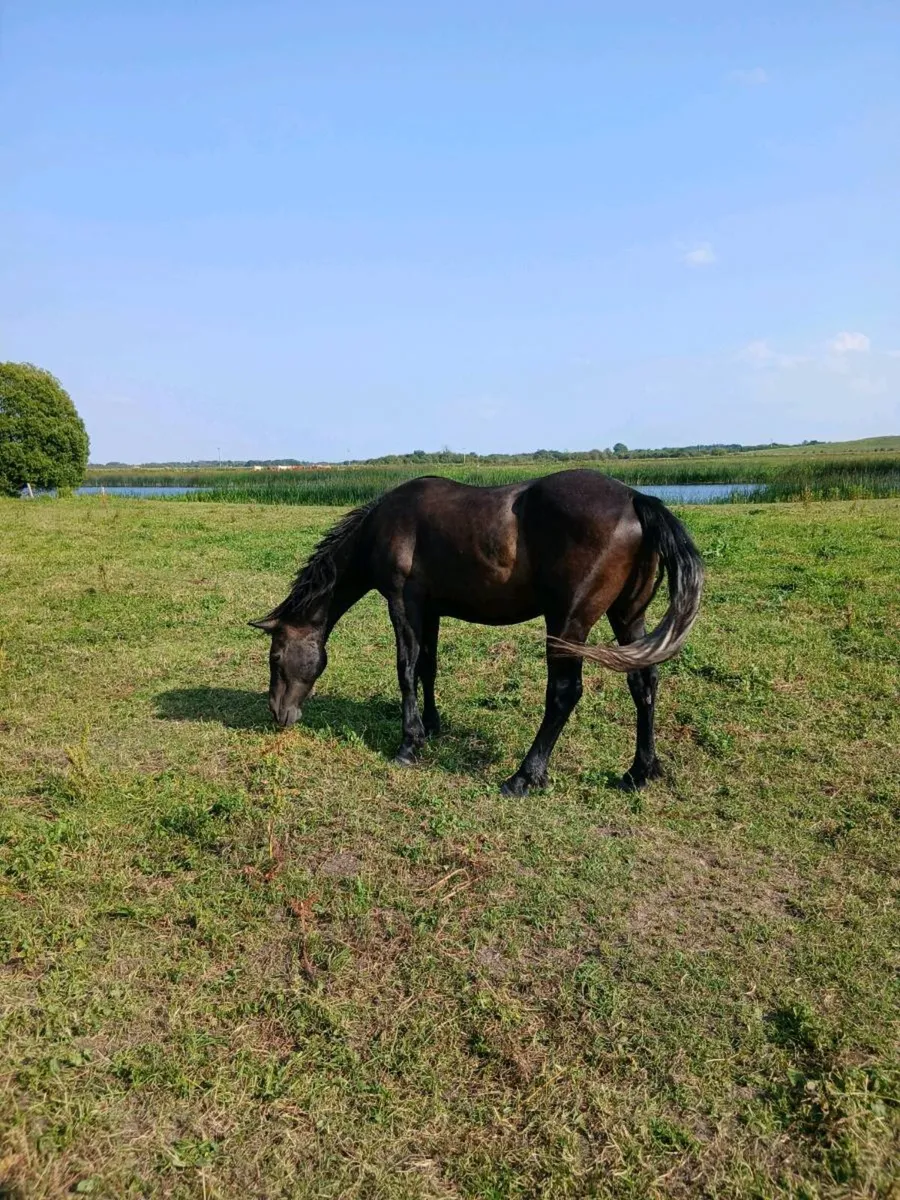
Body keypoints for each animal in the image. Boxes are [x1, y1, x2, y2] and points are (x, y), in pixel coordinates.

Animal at [249, 469, 704, 793]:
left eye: (275, 657)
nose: (277, 713)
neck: (384, 525)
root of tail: (636, 498)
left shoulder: (402, 603)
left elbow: (405, 669)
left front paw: (408, 744)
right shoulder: (429, 609)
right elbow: (427, 667)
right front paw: (431, 726)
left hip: (567, 623)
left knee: (564, 693)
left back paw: (524, 776)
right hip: (628, 616)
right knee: (643, 683)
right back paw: (640, 771)